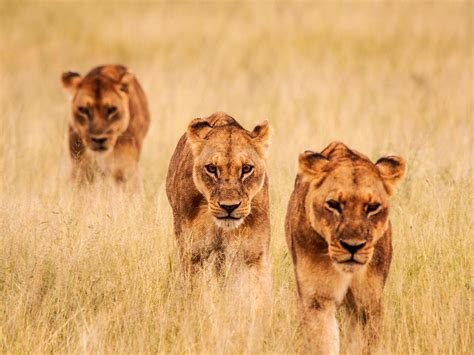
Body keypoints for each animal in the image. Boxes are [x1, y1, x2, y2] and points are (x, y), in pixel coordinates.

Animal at [166, 112, 270, 304]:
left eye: (246, 168)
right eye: (211, 168)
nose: (229, 207)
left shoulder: (254, 254)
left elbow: (259, 297)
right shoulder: (193, 254)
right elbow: (196, 295)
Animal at [286, 141, 408, 354]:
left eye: (372, 207)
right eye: (334, 204)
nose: (353, 246)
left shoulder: (367, 301)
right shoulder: (318, 299)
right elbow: (323, 342)